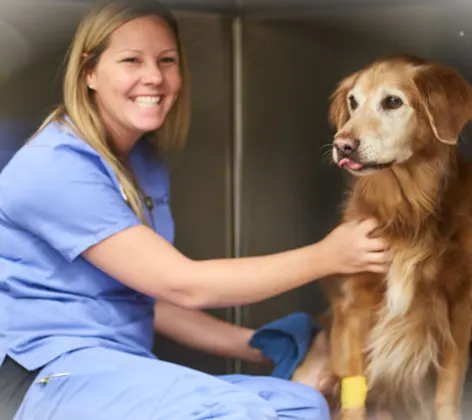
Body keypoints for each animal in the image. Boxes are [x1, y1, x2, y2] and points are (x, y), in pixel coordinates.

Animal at [294, 54, 472, 418]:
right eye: (353, 102)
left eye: (392, 101)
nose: (342, 145)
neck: (409, 208)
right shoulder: (353, 303)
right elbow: (354, 393)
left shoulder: (460, 307)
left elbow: (448, 391)